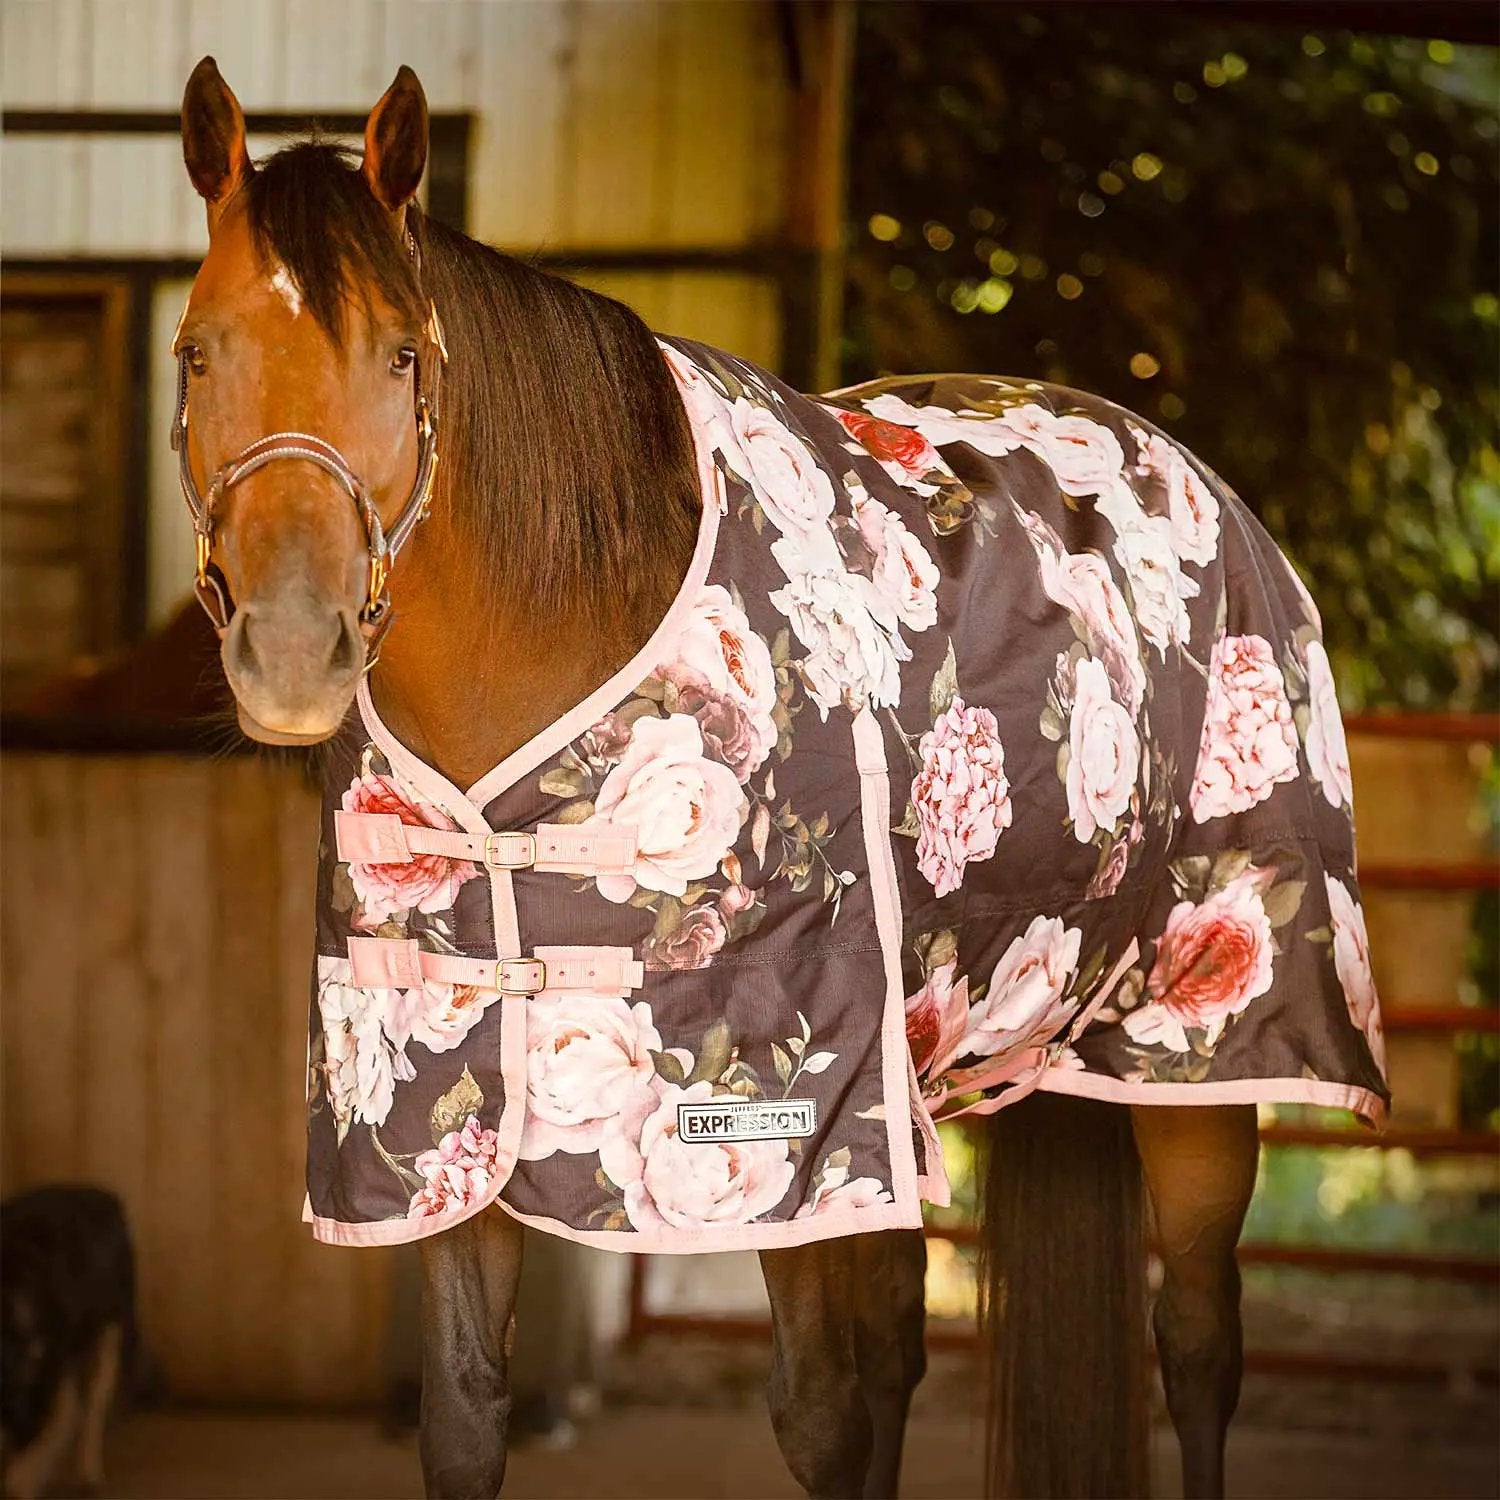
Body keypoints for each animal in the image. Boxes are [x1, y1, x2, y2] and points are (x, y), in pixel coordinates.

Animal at [171, 57, 1386, 1500]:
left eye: (401, 353)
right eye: (196, 351)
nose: (294, 650)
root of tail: (1181, 464)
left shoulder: (788, 1130)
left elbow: (820, 1415)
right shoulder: (436, 1124)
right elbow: (467, 1420)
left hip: (1195, 1063)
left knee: (1195, 1348)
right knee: (910, 1348)